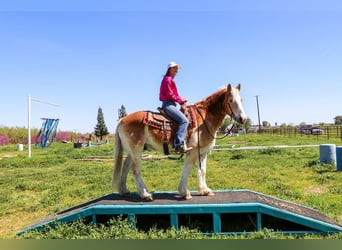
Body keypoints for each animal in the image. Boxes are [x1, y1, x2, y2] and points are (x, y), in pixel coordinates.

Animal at [113, 84, 247, 201]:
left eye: (241, 99)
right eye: (230, 100)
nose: (243, 119)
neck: (204, 119)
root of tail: (122, 120)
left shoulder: (203, 152)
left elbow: (202, 170)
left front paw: (204, 190)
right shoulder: (192, 152)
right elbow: (187, 169)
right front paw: (184, 192)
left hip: (131, 151)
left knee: (125, 166)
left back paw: (124, 190)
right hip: (136, 150)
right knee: (135, 170)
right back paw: (145, 194)